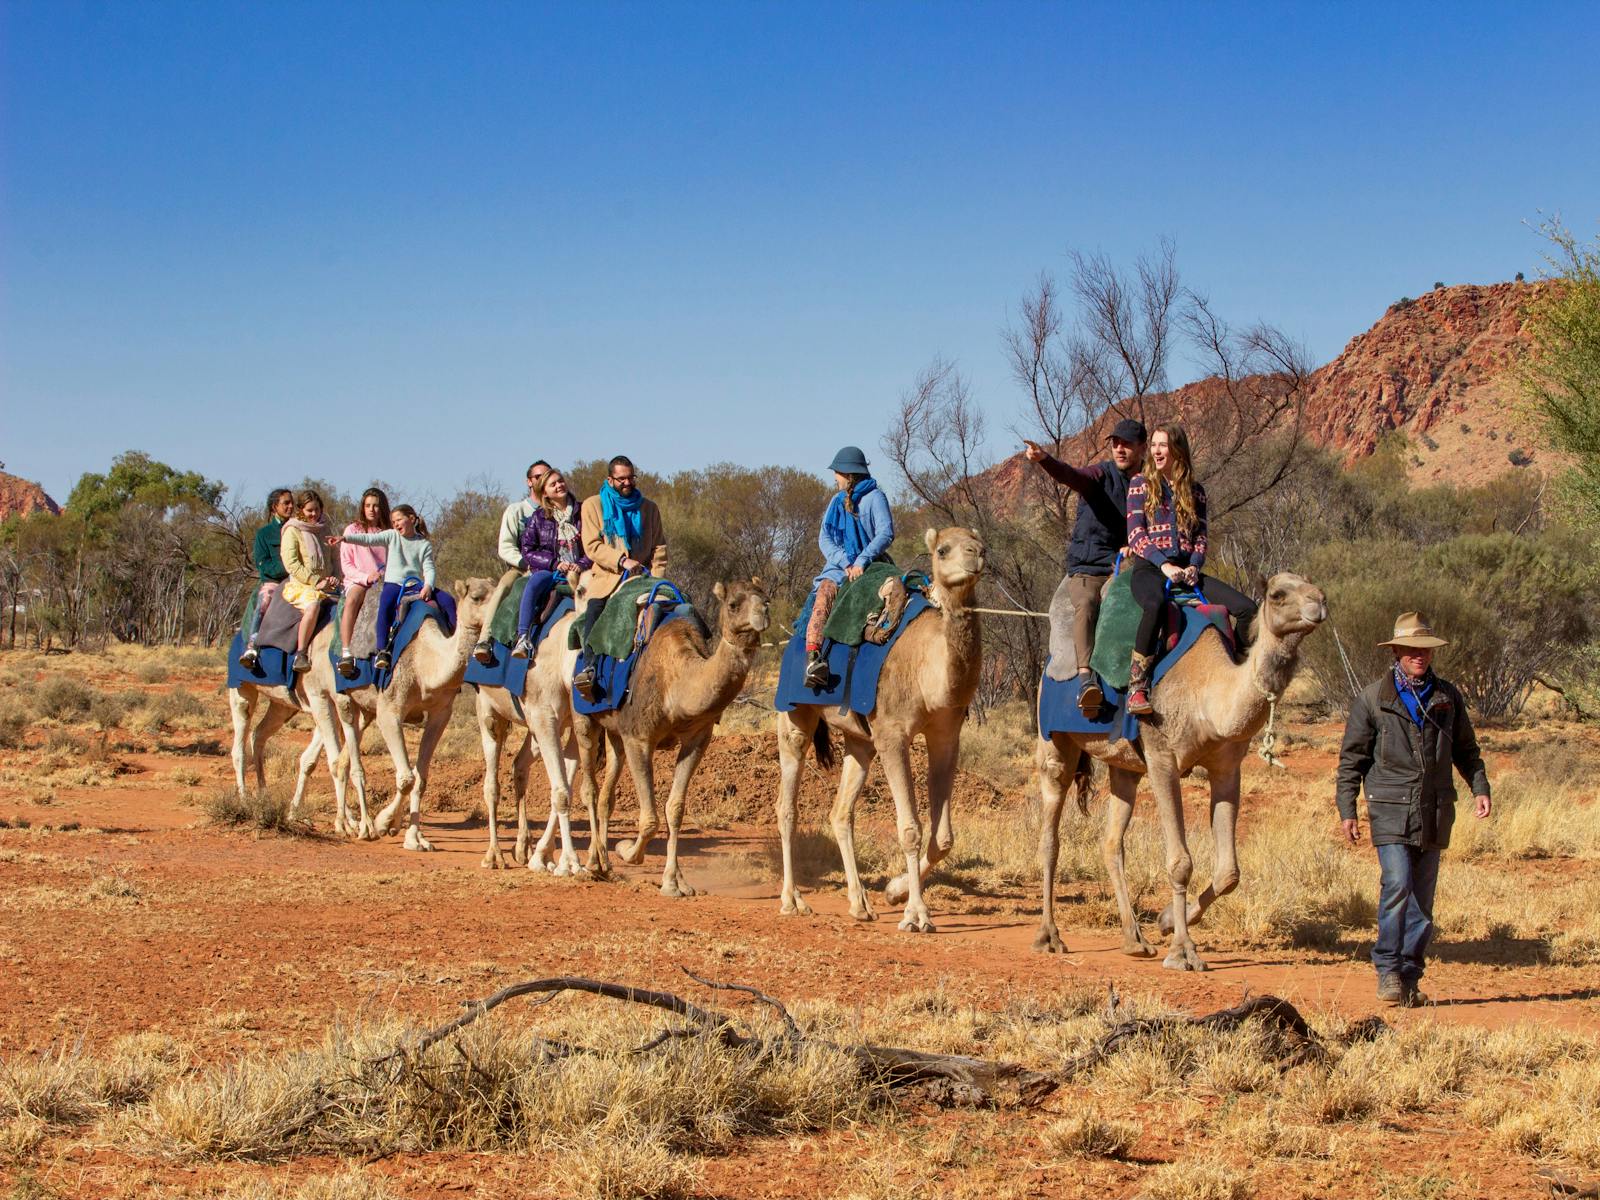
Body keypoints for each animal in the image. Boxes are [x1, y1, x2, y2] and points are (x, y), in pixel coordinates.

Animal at [473, 572, 585, 874]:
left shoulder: (568, 724)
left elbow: (565, 788)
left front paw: (545, 858)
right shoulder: (545, 716)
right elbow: (561, 792)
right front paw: (571, 863)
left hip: (533, 727)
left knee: (519, 765)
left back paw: (523, 848)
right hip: (488, 711)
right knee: (491, 784)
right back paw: (494, 855)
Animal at [573, 578, 770, 896]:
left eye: (766, 598)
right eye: (733, 604)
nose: (763, 612)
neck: (676, 684)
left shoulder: (697, 740)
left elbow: (674, 809)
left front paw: (675, 883)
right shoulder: (640, 738)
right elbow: (650, 818)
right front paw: (626, 850)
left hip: (615, 732)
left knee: (607, 792)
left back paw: (604, 865)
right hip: (583, 716)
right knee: (589, 786)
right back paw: (592, 863)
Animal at [773, 527, 985, 933]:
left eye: (980, 544)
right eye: (943, 549)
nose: (976, 555)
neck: (928, 665)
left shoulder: (945, 734)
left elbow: (944, 838)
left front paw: (894, 892)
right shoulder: (892, 733)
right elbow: (910, 829)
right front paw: (917, 915)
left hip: (860, 741)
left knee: (841, 812)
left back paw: (860, 905)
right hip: (794, 715)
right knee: (787, 804)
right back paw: (793, 901)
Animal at [1034, 572, 1327, 971]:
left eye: (1314, 587)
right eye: (1279, 594)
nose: (1319, 603)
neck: (1208, 696)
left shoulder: (1226, 768)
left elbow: (1229, 872)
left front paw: (1168, 920)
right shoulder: (1162, 759)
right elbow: (1179, 862)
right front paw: (1183, 952)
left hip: (1123, 766)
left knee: (1111, 842)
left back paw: (1134, 940)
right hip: (1055, 743)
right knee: (1051, 833)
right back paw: (1050, 937)